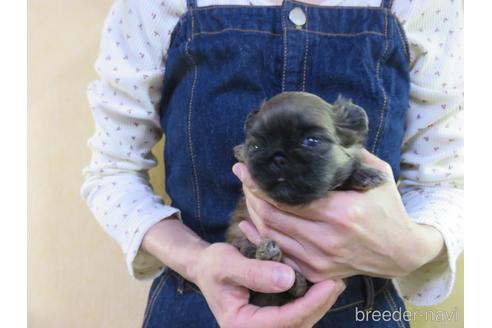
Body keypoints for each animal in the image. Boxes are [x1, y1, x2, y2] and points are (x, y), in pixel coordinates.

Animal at [225, 93, 386, 308]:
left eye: (311, 141)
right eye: (257, 146)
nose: (278, 157)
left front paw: (364, 173)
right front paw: (241, 150)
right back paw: (269, 255)